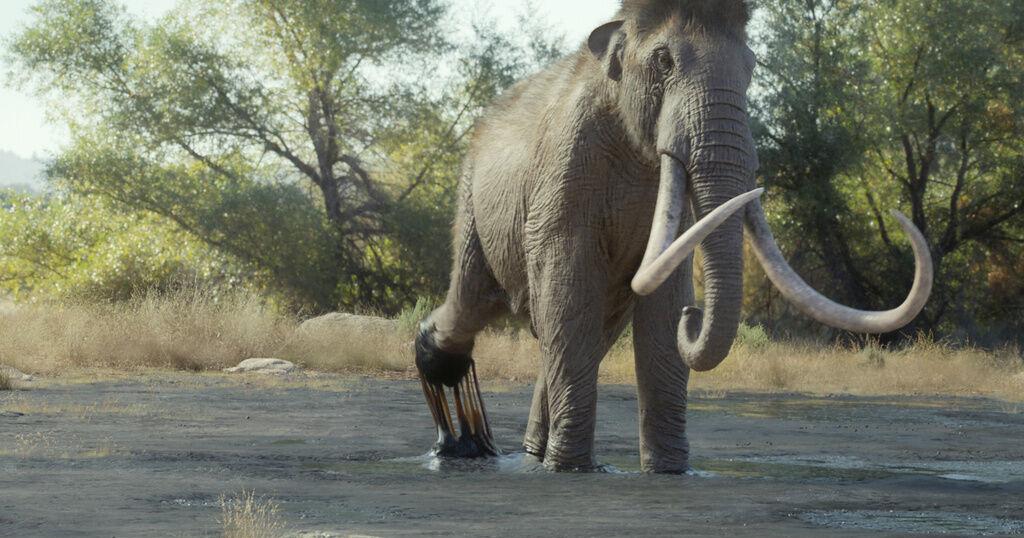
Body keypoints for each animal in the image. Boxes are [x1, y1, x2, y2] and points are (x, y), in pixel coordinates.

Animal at [414, 0, 933, 473]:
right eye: (664, 61)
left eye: (752, 67)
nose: (694, 317)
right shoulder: (563, 172)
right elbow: (568, 292)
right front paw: (573, 470)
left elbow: (660, 305)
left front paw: (669, 472)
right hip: (471, 199)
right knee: (479, 298)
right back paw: (459, 421)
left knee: (586, 327)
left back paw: (523, 453)